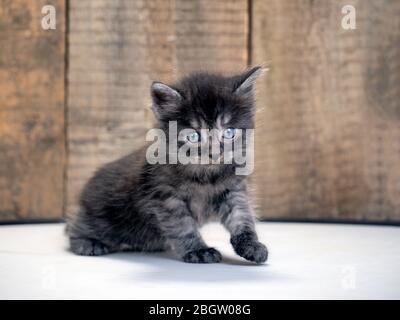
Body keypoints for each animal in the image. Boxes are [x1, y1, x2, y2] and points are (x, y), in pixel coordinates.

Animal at [67, 66, 268, 264]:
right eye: (193, 136)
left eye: (229, 132)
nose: (215, 154)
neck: (206, 176)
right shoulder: (165, 197)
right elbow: (182, 225)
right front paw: (198, 250)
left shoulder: (234, 190)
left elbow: (242, 216)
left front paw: (252, 245)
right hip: (101, 216)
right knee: (74, 228)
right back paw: (89, 243)